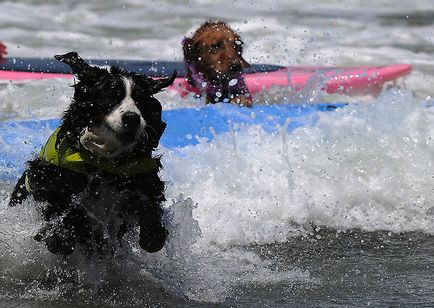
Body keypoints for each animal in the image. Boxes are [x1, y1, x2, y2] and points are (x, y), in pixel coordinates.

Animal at [8, 52, 175, 255]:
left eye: (140, 100)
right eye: (111, 96)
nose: (132, 118)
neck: (106, 163)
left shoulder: (142, 176)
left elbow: (147, 199)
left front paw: (153, 234)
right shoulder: (48, 177)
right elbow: (68, 206)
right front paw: (62, 236)